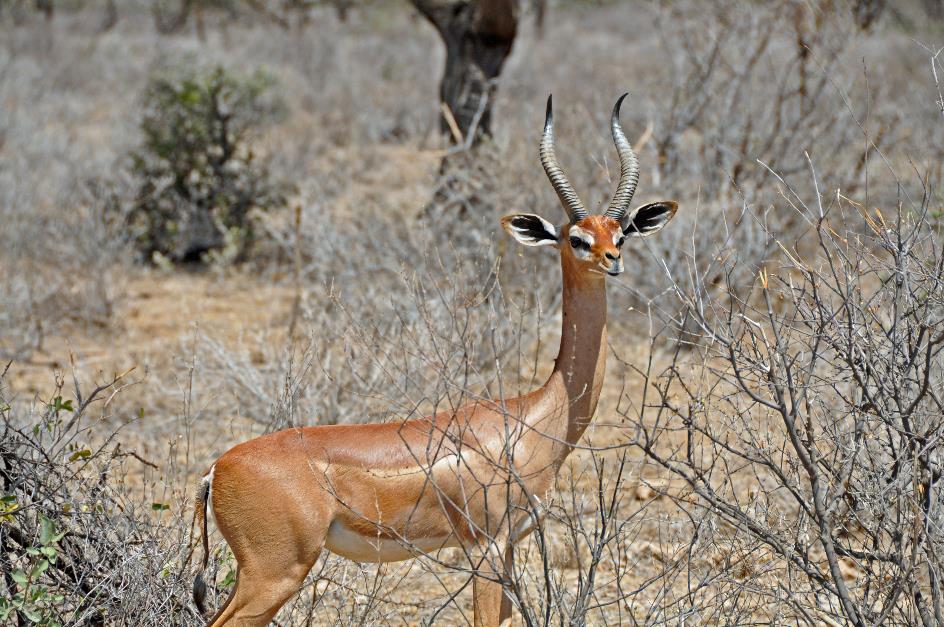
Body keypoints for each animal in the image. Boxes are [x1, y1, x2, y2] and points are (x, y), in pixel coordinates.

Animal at [194, 94, 680, 627]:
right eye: (577, 238)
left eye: (621, 232)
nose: (613, 260)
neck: (534, 418)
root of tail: (217, 470)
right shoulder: (487, 546)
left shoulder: (509, 546)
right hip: (276, 572)